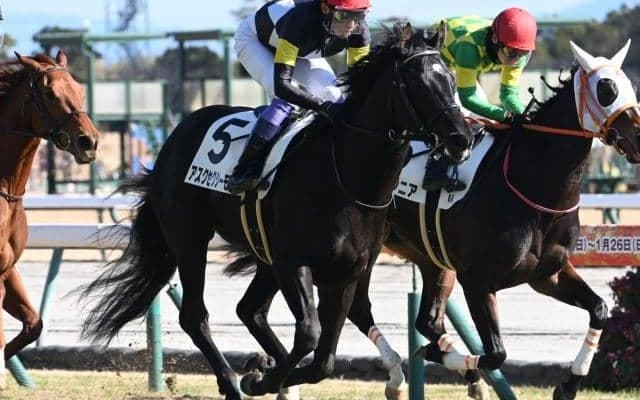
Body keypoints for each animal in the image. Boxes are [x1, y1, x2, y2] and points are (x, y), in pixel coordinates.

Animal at [78, 22, 474, 400]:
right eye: (420, 82)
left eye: (452, 80)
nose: (462, 138)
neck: (345, 176)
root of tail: (173, 138)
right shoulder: (293, 263)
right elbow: (310, 334)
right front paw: (259, 380)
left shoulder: (346, 273)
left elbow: (324, 360)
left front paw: (266, 373)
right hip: (189, 239)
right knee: (195, 315)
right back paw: (232, 382)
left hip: (262, 253)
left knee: (249, 309)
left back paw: (267, 369)